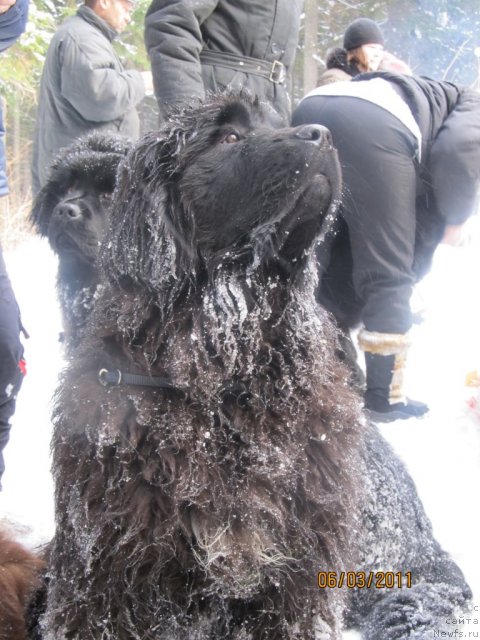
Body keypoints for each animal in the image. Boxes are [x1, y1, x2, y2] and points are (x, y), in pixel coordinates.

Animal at [43, 92, 470, 636]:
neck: (222, 383)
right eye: (228, 136)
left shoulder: (291, 574)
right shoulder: (109, 567)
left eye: (279, 123)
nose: (323, 135)